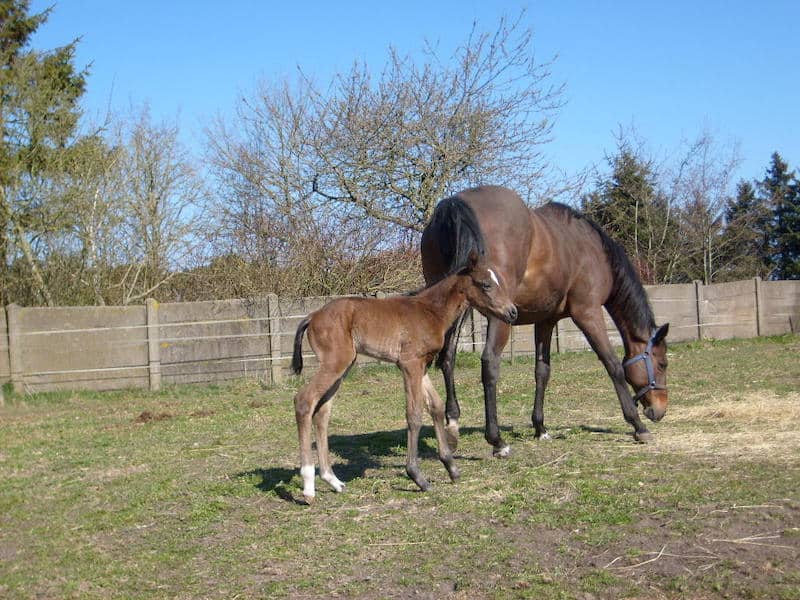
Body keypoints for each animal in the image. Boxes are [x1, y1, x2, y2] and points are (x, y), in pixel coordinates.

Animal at [290, 251, 516, 504]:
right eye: (486, 284)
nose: (513, 312)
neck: (430, 311)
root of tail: (313, 315)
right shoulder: (409, 365)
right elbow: (414, 415)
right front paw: (417, 476)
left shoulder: (421, 366)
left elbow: (436, 407)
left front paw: (451, 467)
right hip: (335, 363)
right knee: (304, 401)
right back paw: (308, 487)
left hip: (343, 367)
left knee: (322, 413)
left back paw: (333, 480)